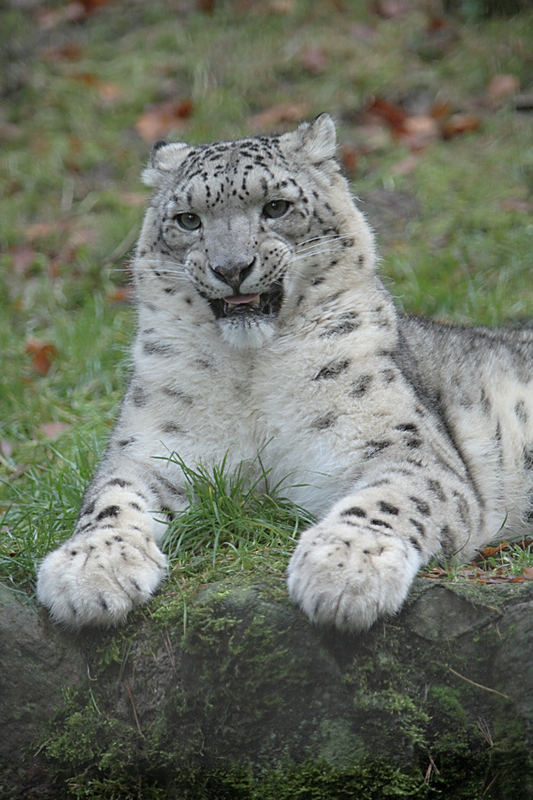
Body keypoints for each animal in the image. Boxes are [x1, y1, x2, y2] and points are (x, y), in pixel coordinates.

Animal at [37, 112, 532, 632]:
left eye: (276, 206)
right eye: (188, 219)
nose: (231, 267)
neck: (249, 374)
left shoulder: (404, 449)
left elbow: (389, 499)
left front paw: (346, 567)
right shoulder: (147, 452)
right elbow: (110, 501)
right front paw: (89, 568)